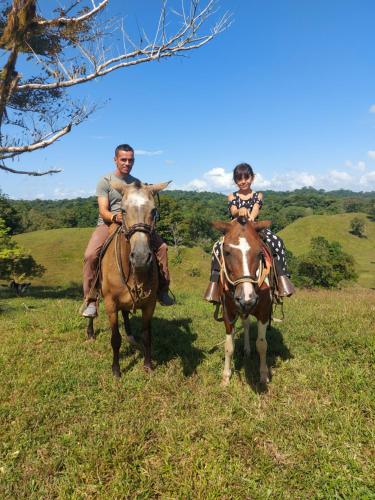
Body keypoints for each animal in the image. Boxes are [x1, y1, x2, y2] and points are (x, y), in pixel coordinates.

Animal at [100, 179, 170, 376]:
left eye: (153, 211)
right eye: (123, 210)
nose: (140, 257)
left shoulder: (149, 305)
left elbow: (147, 336)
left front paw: (148, 365)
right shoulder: (110, 304)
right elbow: (115, 338)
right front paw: (116, 369)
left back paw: (130, 335)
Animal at [212, 217, 274, 384]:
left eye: (259, 253)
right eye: (226, 252)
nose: (247, 299)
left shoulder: (264, 313)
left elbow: (262, 345)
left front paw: (263, 374)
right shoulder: (228, 313)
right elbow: (229, 346)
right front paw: (226, 377)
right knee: (245, 324)